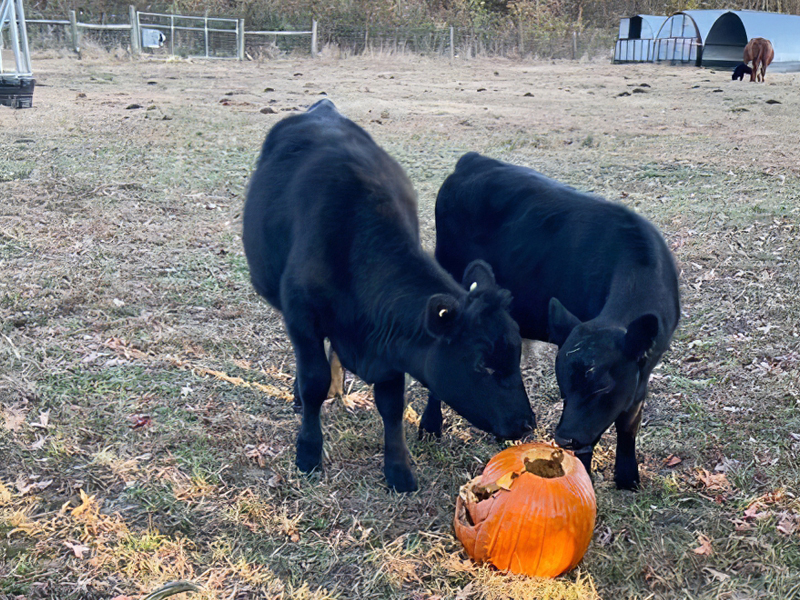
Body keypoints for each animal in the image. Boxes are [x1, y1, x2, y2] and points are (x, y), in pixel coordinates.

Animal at [241, 101, 536, 490]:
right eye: (481, 365)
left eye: (516, 356)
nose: (526, 424)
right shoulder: (302, 318)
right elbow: (313, 382)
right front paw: (308, 452)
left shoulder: (393, 344)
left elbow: (392, 404)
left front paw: (398, 471)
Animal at [432, 152, 680, 490]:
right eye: (562, 382)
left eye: (602, 386)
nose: (563, 439)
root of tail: (473, 160)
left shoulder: (642, 372)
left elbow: (629, 424)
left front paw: (628, 478)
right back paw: (430, 428)